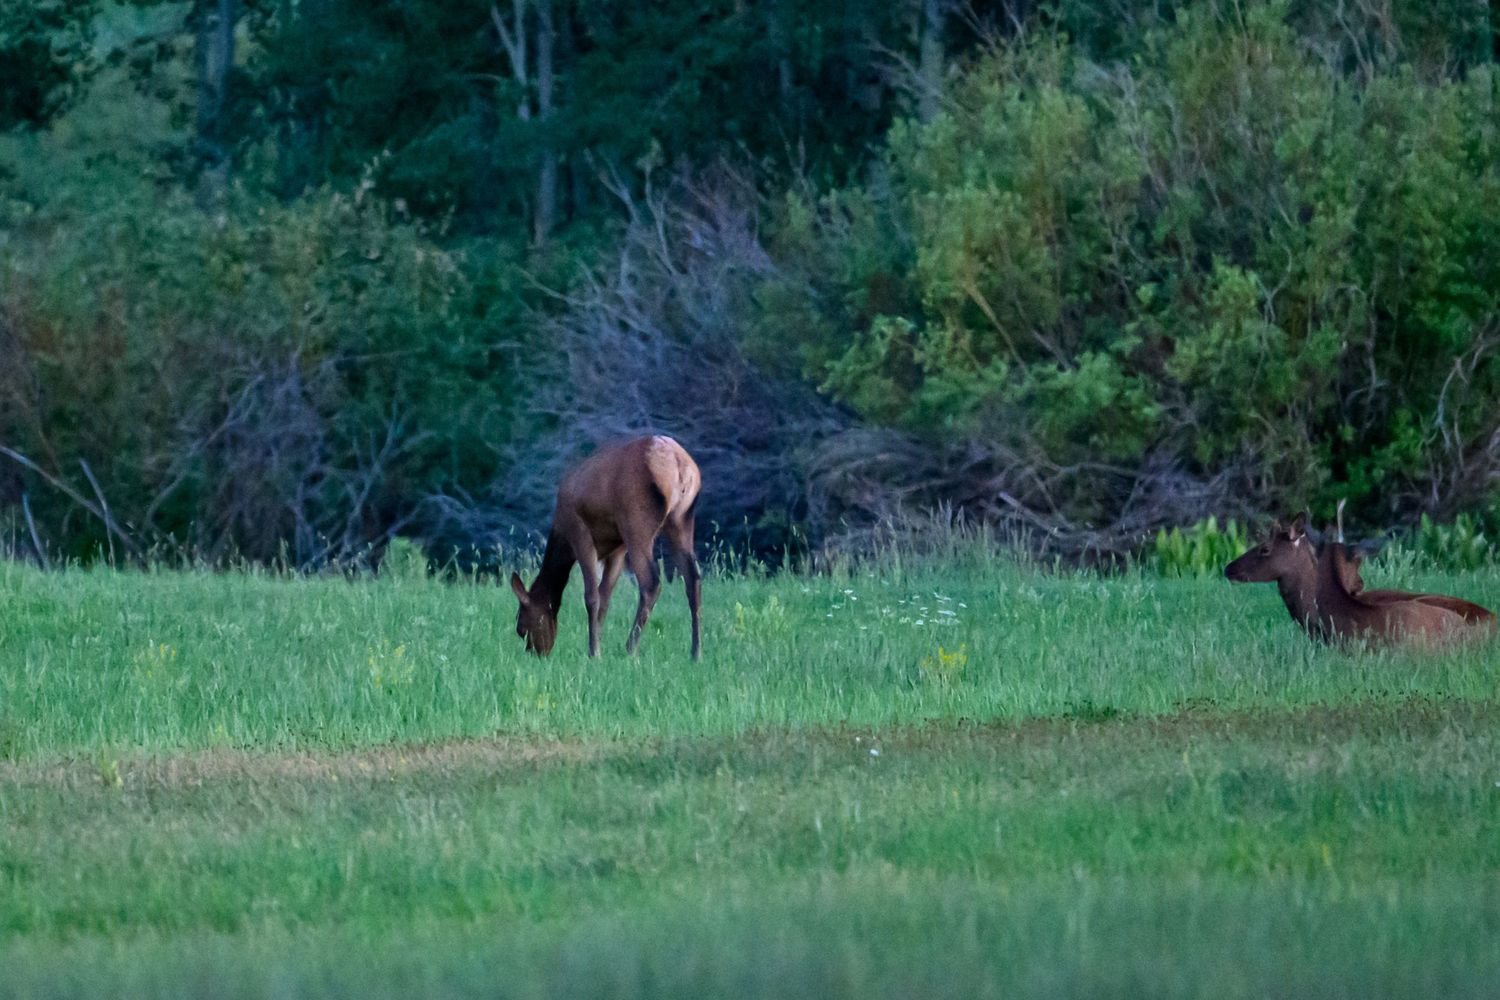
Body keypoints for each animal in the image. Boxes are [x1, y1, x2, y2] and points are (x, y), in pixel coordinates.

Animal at [510, 435, 702, 660]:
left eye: (521, 627)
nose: (537, 653)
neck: (561, 534)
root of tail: (679, 466)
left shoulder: (579, 532)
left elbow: (592, 596)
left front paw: (593, 652)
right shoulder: (617, 548)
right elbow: (605, 597)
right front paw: (597, 644)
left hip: (637, 523)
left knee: (651, 583)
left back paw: (630, 649)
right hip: (682, 519)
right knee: (693, 579)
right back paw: (696, 653)